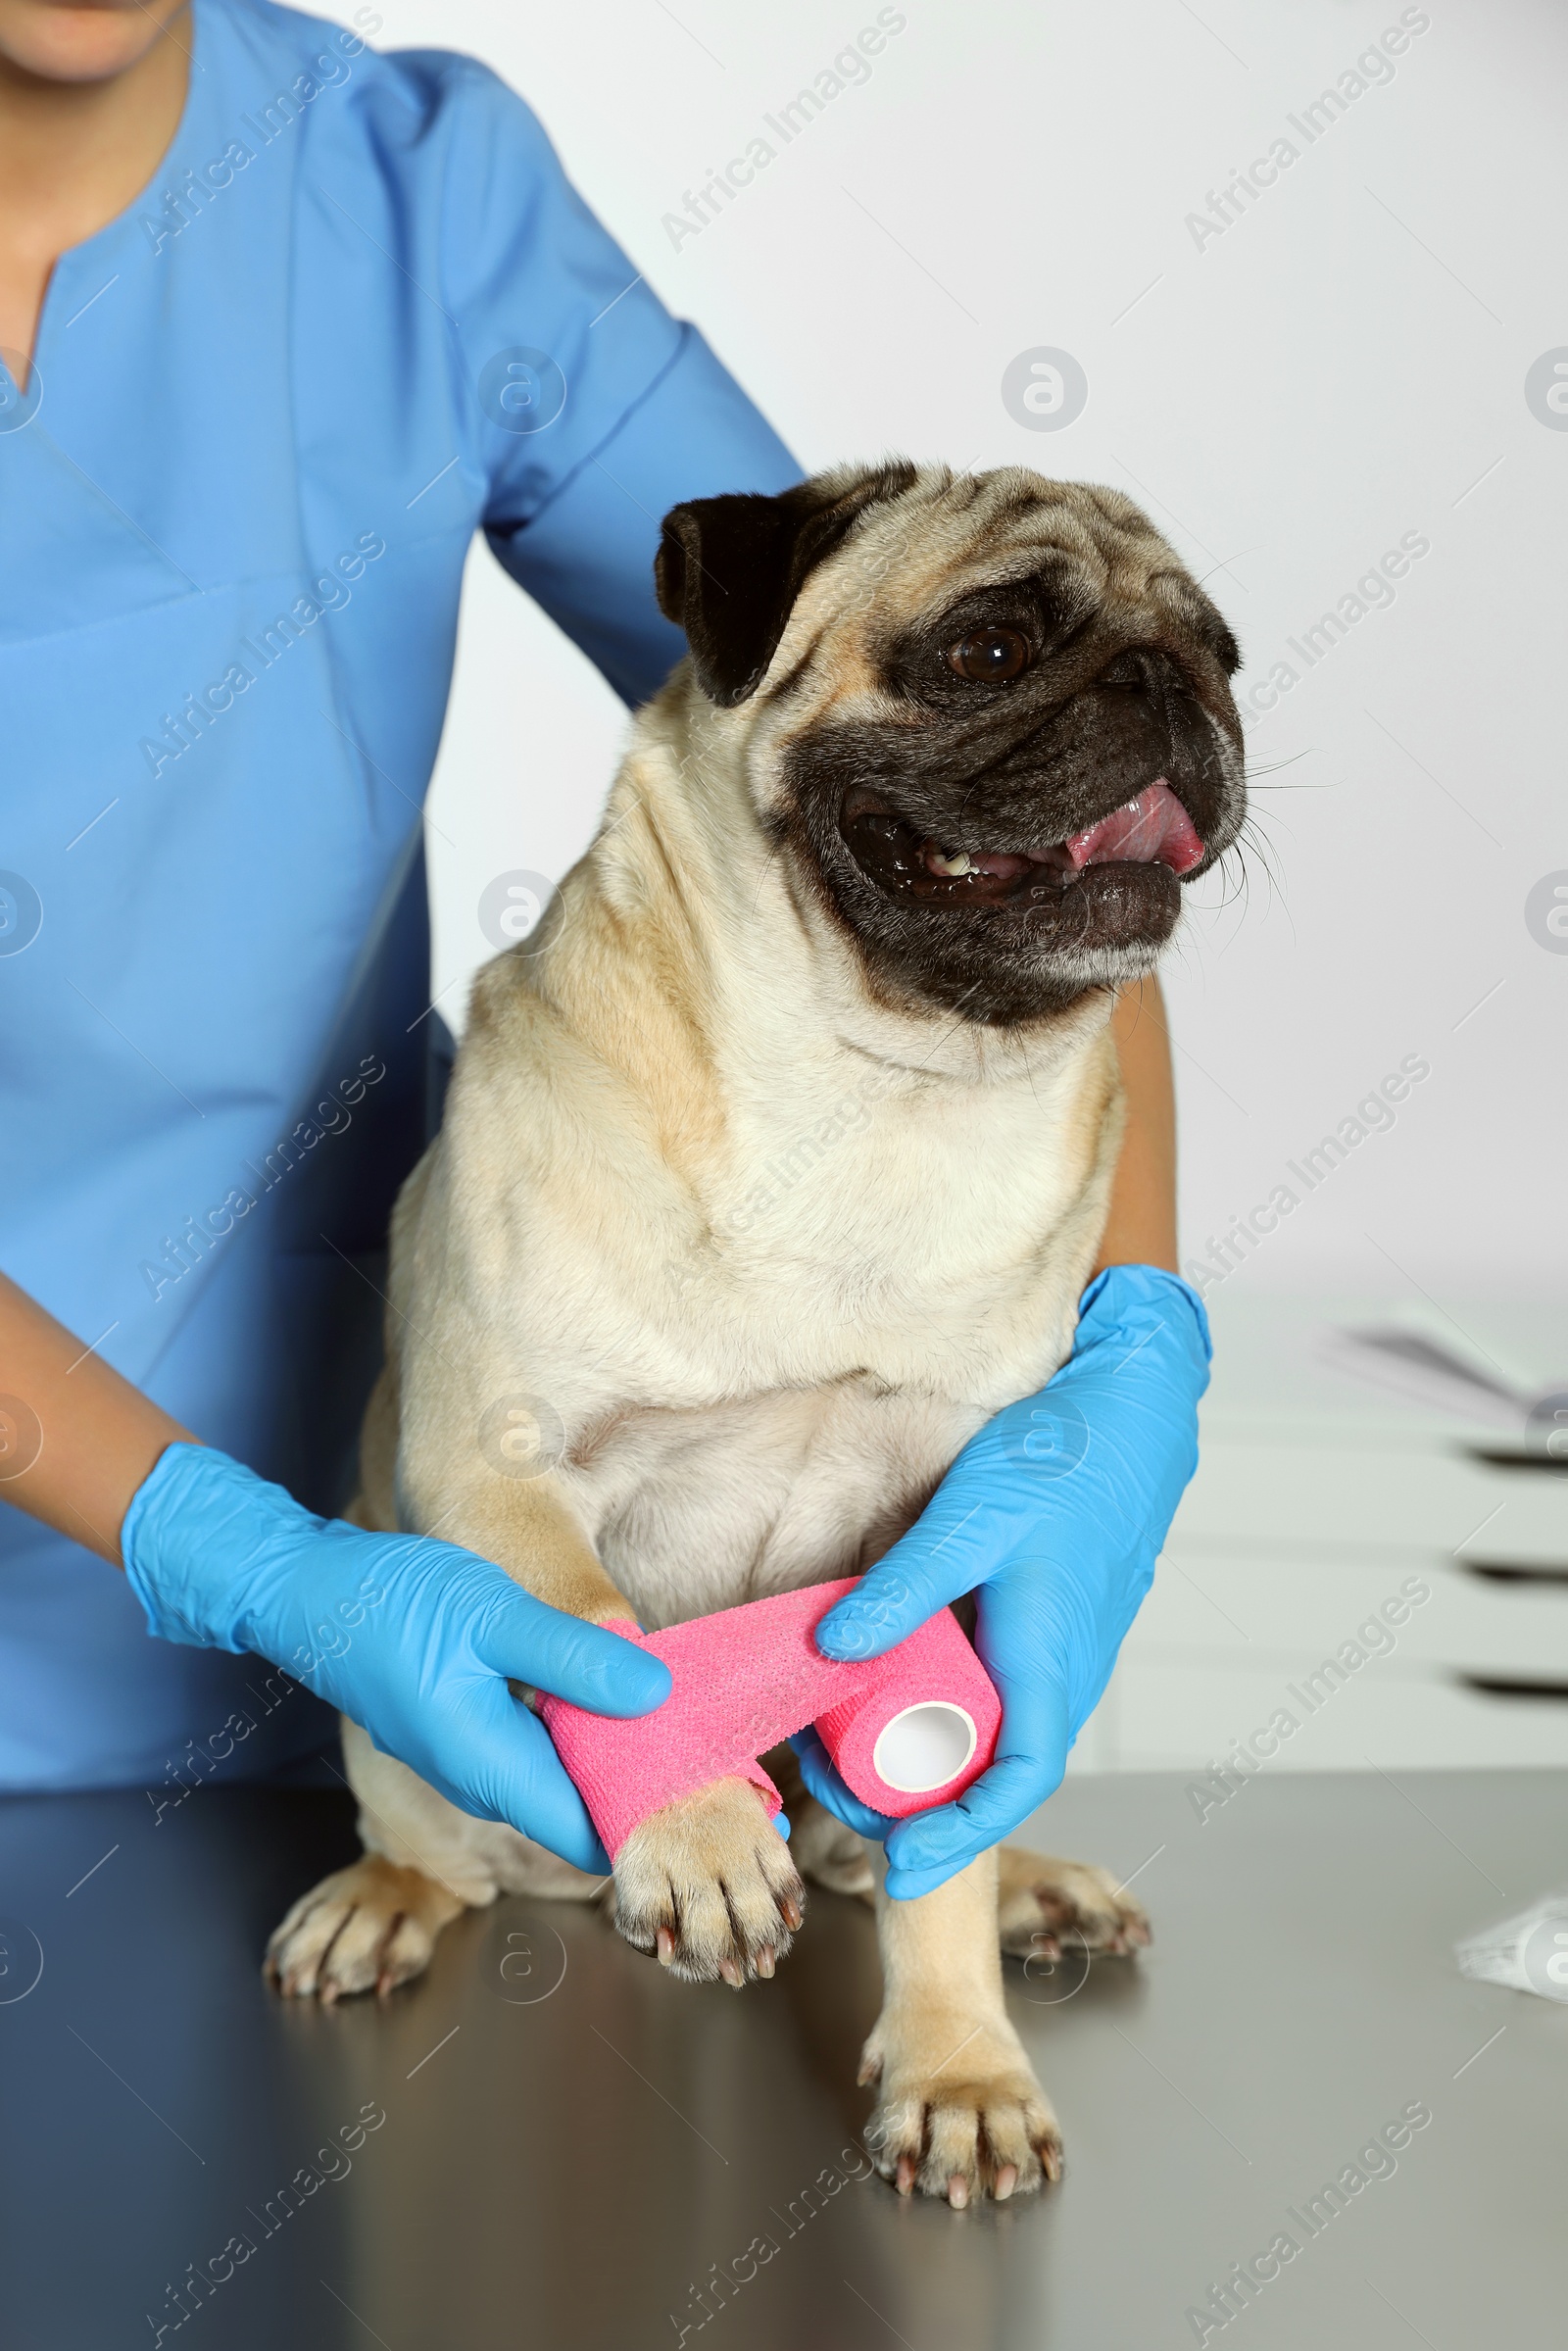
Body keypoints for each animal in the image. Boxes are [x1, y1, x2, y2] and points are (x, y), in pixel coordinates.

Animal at [270, 463, 1250, 2200]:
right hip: (391, 1725)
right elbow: (612, 1650)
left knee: (891, 1854)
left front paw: (958, 2062)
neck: (882, 1082)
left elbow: (936, 1844)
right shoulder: (503, 1476)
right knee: (437, 1842)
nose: (1172, 684)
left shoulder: (961, 1545)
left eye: (1226, 656)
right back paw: (388, 1901)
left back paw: (1030, 1882)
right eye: (992, 647)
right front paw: (701, 1831)